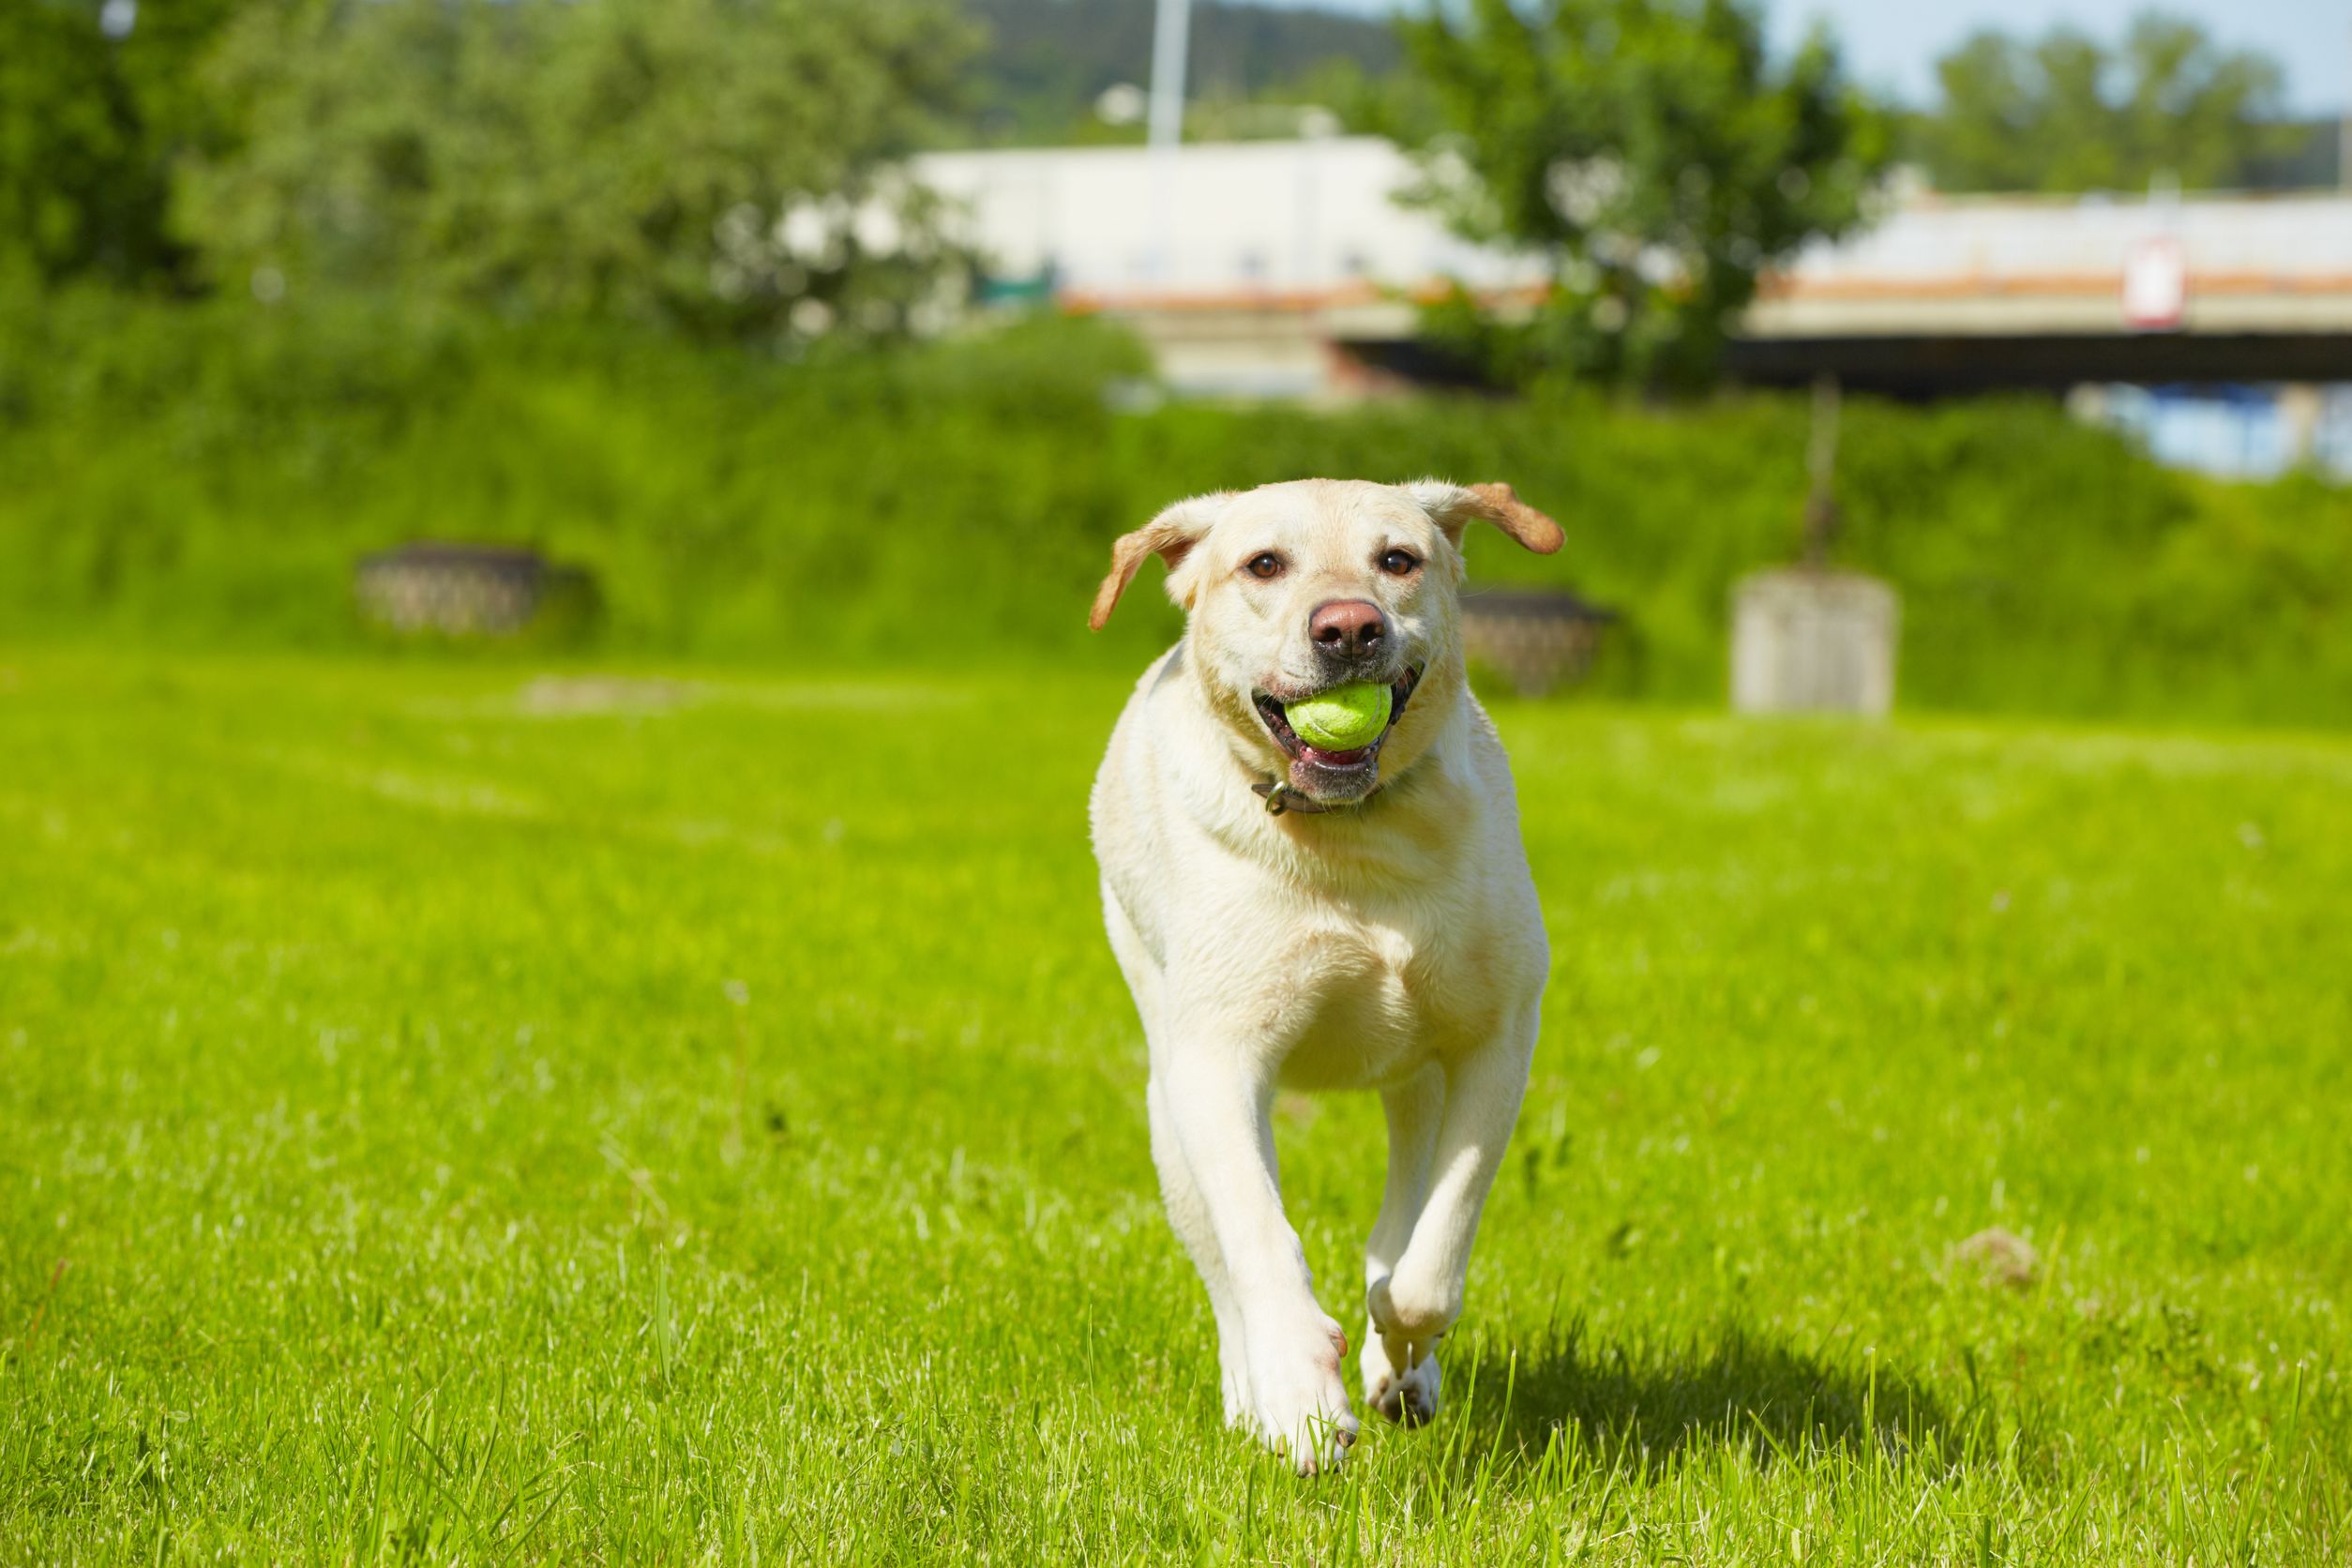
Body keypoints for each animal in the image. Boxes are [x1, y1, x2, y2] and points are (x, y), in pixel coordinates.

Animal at [1086, 475, 1561, 1476]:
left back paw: (1402, 1372)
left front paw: (1398, 1346)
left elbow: (1430, 1256)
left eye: (1399, 559)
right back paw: (1255, 1398)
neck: (1353, 834)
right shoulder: (1217, 1064)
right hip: (1167, 1118)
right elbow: (1261, 1243)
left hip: (1419, 1082)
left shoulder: (1497, 1041)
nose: (1348, 628)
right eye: (1264, 563)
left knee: (1403, 1210)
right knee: (1224, 1270)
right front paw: (1303, 1399)